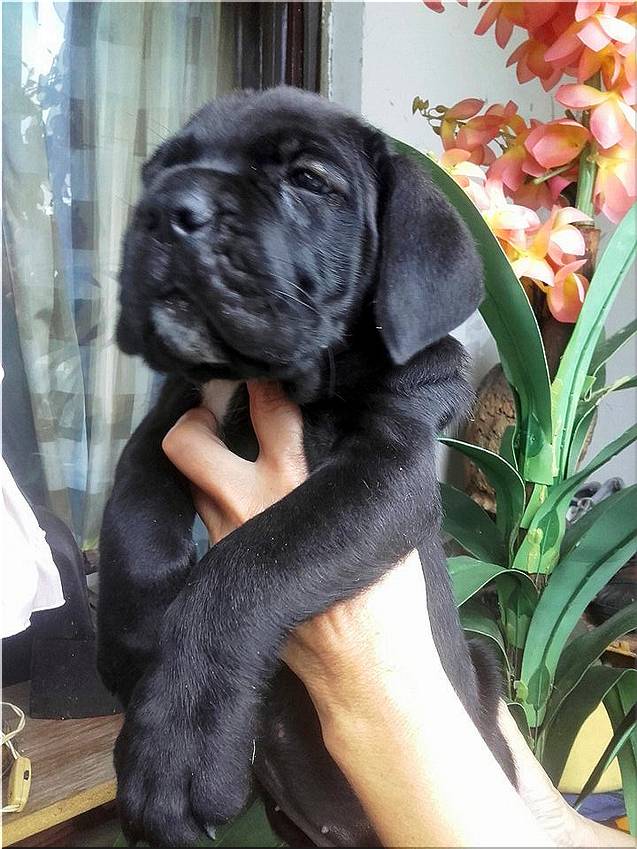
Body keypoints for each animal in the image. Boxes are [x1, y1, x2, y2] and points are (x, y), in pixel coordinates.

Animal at [97, 86, 515, 848]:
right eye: (157, 171)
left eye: (309, 181)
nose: (164, 210)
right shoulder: (172, 415)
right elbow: (133, 509)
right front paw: (130, 638)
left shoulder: (385, 472)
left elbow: (247, 566)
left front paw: (174, 745)